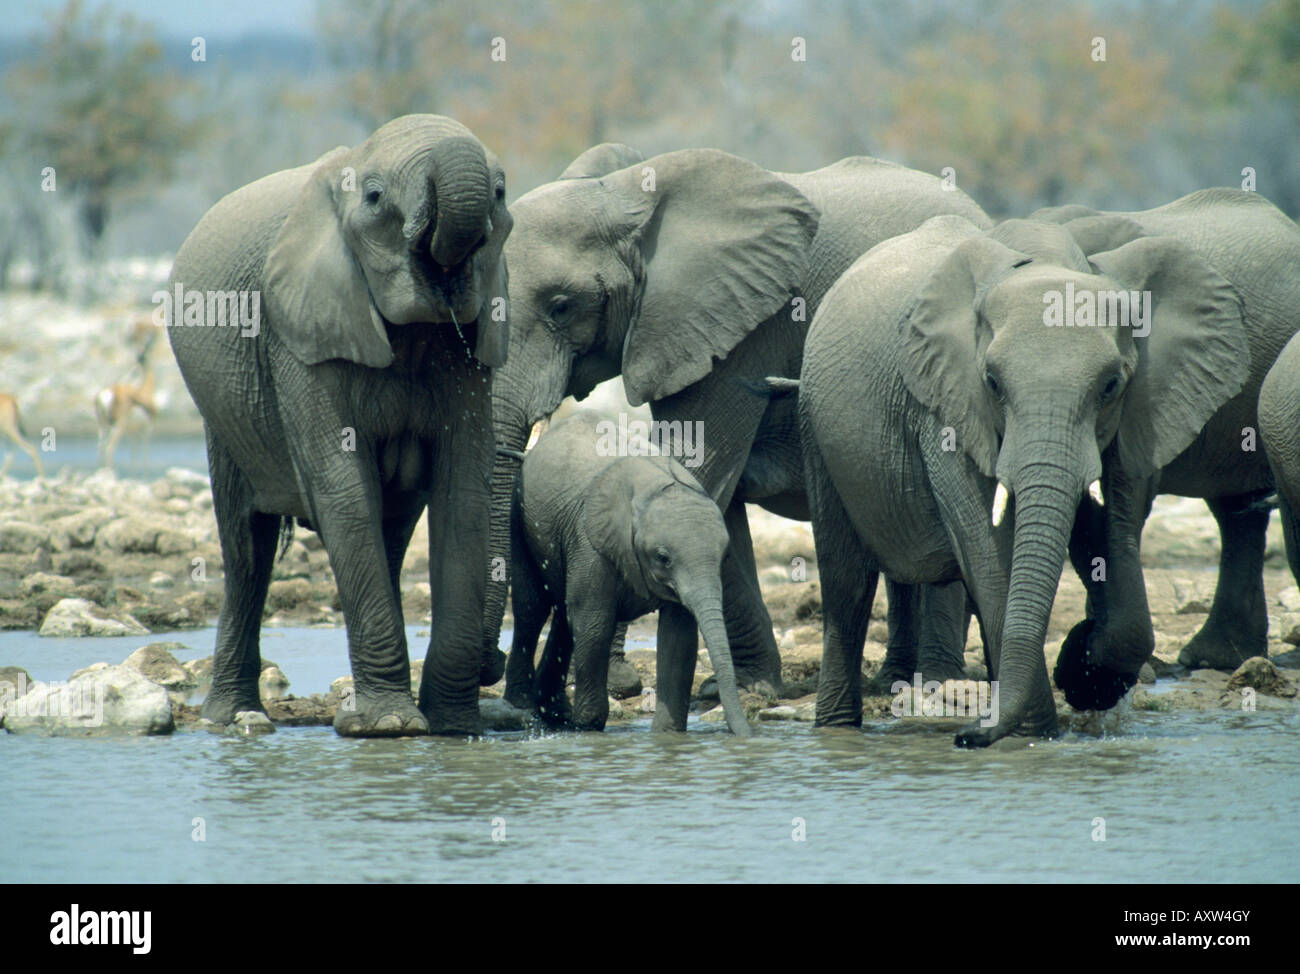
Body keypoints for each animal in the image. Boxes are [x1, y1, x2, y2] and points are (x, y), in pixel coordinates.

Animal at [167, 114, 512, 737]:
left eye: (500, 193)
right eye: (374, 198)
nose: (491, 664)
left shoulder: (470, 348)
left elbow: (464, 492)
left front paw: (452, 729)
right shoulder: (300, 336)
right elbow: (342, 486)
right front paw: (389, 728)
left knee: (389, 534)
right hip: (224, 416)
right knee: (247, 550)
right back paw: (234, 718)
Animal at [502, 410, 751, 735]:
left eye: (724, 558)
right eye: (663, 558)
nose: (746, 736)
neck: (655, 490)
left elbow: (679, 637)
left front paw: (668, 735)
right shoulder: (591, 542)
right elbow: (594, 623)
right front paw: (588, 727)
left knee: (563, 616)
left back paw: (555, 712)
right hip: (520, 517)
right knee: (532, 609)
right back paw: (523, 705)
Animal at [800, 192, 1285, 747]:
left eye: (1111, 385)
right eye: (991, 382)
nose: (965, 738)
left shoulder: (1134, 411)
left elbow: (1108, 537)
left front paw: (1080, 668)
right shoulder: (944, 407)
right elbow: (990, 555)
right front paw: (1036, 728)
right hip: (815, 425)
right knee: (847, 581)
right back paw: (838, 729)